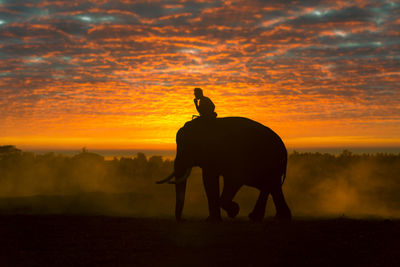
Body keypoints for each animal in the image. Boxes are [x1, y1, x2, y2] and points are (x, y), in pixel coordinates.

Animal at [156, 116, 290, 223]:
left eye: (188, 146)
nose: (184, 219)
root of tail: (284, 148)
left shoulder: (233, 155)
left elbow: (233, 179)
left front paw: (234, 211)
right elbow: (209, 180)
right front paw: (212, 220)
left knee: (269, 185)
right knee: (271, 186)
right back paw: (273, 218)